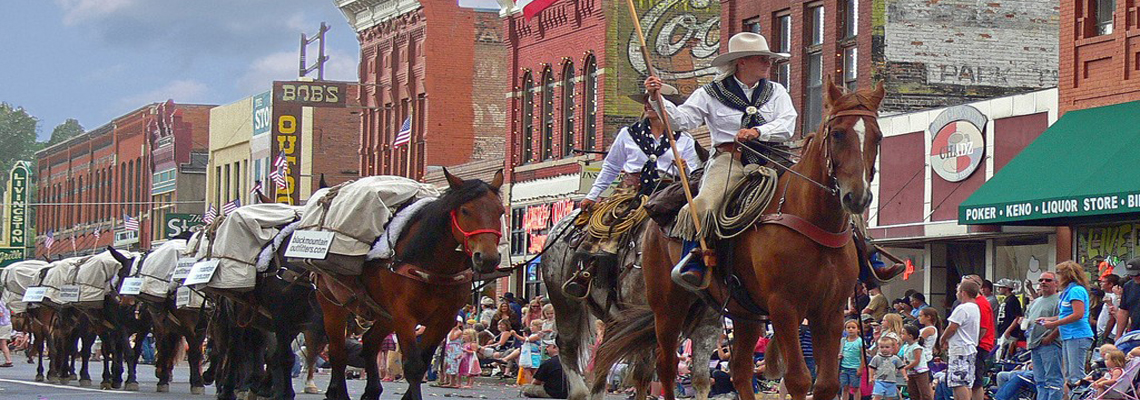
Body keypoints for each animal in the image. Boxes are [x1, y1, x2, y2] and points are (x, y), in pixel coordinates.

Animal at [314, 168, 506, 400]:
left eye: (500, 211)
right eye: (465, 210)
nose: (487, 258)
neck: (435, 268)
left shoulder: (444, 319)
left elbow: (423, 362)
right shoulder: (404, 315)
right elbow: (413, 366)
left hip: (384, 314)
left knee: (369, 343)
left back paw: (371, 390)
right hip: (332, 304)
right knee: (338, 351)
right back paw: (338, 391)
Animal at [592, 78, 884, 400]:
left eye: (878, 136)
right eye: (837, 133)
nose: (858, 197)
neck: (812, 220)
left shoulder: (830, 311)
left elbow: (827, 384)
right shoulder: (784, 308)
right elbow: (798, 379)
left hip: (744, 314)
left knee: (740, 370)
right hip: (667, 306)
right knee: (665, 366)